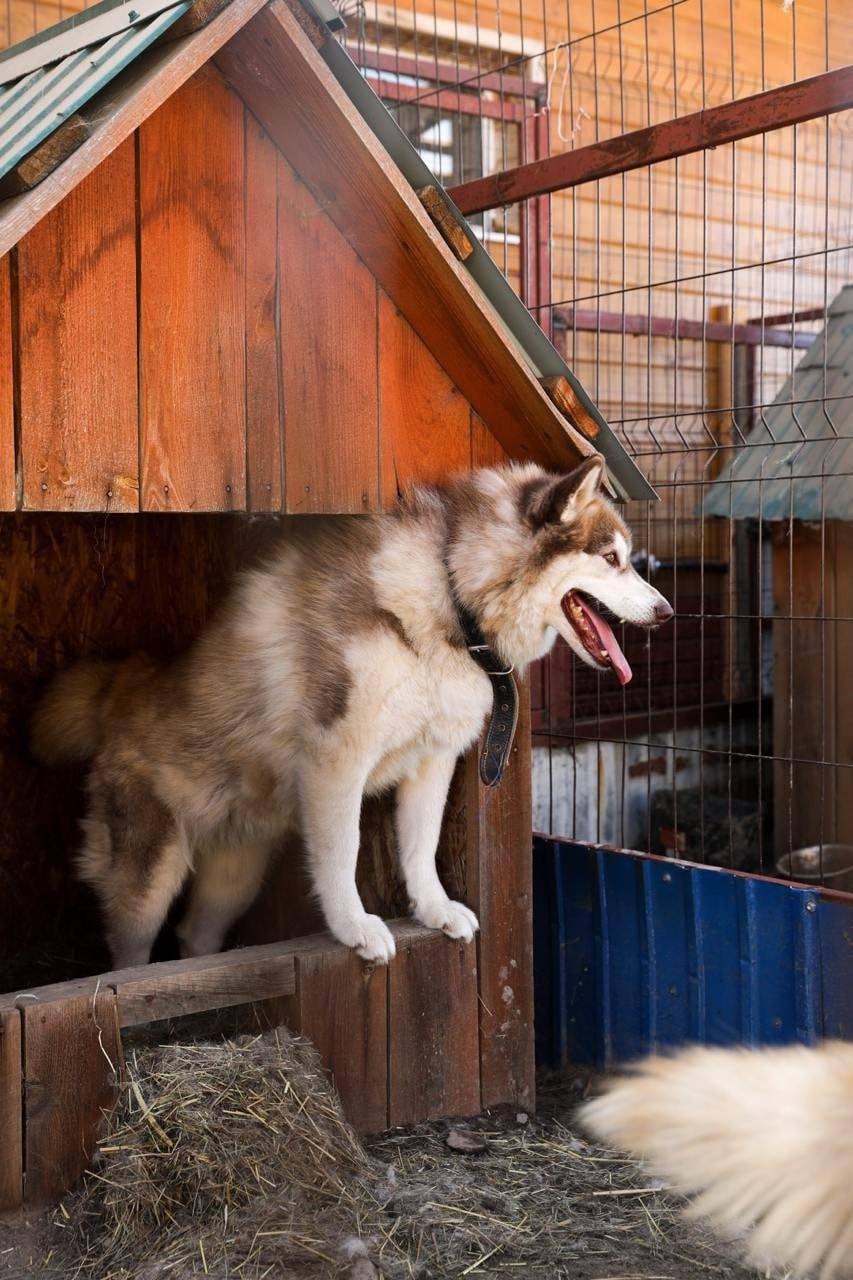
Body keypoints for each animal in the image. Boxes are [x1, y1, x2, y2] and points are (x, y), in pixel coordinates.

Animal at [33, 455, 671, 962]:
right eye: (612, 558)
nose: (665, 612)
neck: (453, 599)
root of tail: (122, 687)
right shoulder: (337, 756)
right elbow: (343, 851)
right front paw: (354, 926)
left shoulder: (433, 760)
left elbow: (422, 846)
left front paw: (435, 909)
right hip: (148, 873)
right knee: (132, 953)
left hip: (235, 873)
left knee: (196, 935)